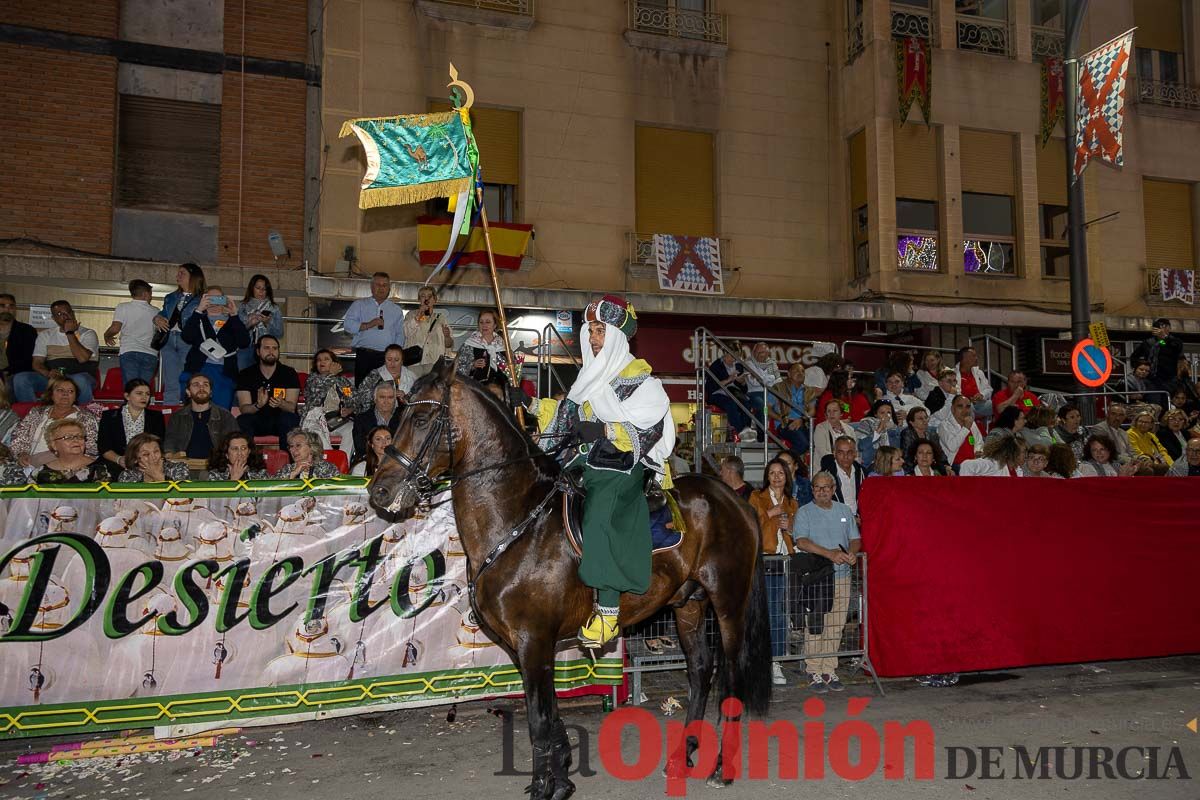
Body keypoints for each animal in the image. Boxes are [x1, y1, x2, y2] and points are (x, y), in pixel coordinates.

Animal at [369, 362, 772, 800]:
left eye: (422, 419)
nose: (380, 491)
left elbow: (539, 718)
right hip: (688, 605)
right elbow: (545, 714)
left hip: (728, 602)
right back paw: (683, 756)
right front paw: (559, 776)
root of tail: (734, 499)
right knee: (700, 670)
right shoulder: (524, 647)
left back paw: (722, 766)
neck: (517, 520)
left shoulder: (533, 640)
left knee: (731, 674)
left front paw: (548, 786)